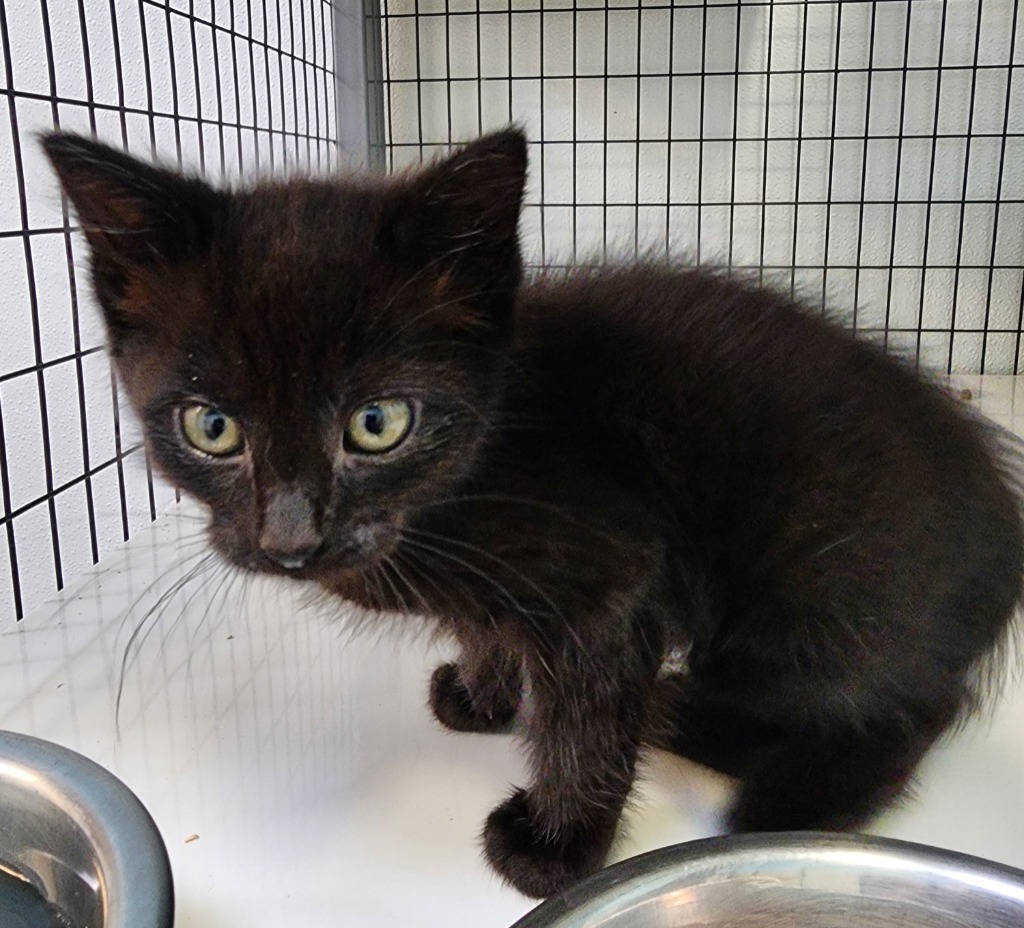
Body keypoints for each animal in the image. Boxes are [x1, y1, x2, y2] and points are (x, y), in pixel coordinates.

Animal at [46, 130, 1024, 897]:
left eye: (377, 423)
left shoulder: (613, 573)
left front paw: (556, 844)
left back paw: (779, 785)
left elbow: (587, 718)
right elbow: (494, 631)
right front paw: (483, 695)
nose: (292, 537)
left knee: (905, 705)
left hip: (807, 601)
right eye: (211, 427)